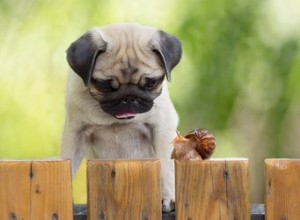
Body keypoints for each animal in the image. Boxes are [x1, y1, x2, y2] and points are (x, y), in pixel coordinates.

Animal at [61, 22, 180, 211]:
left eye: (151, 83)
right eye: (104, 85)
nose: (128, 97)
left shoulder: (162, 129)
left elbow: (166, 167)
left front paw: (168, 196)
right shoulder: (75, 134)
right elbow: (68, 163)